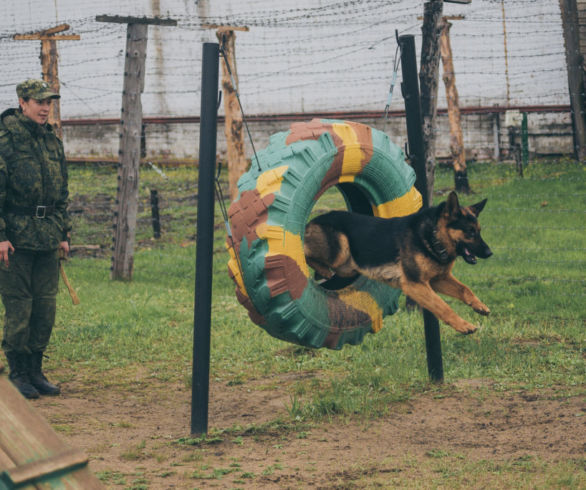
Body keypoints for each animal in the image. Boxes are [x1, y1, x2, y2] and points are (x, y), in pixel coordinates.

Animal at [304, 191, 490, 334]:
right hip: (341, 249)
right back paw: (322, 269)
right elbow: (442, 306)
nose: (490, 253)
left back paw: (322, 272)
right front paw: (463, 325)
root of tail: (311, 222)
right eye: (470, 232)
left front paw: (479, 306)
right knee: (302, 250)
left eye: (479, 231)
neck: (432, 236)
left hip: (347, 268)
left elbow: (465, 289)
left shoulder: (438, 280)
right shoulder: (415, 284)